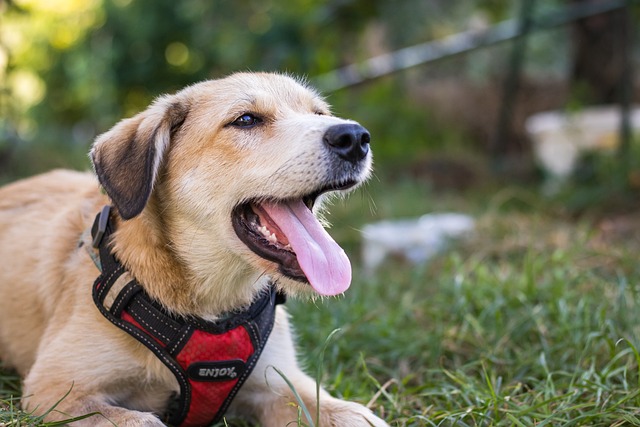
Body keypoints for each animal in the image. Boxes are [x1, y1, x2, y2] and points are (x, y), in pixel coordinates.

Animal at [0, 73, 388, 427]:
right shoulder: (54, 389)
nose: (355, 137)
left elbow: (346, 413)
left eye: (319, 113)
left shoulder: (279, 383)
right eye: (246, 119)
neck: (212, 304)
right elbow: (139, 421)